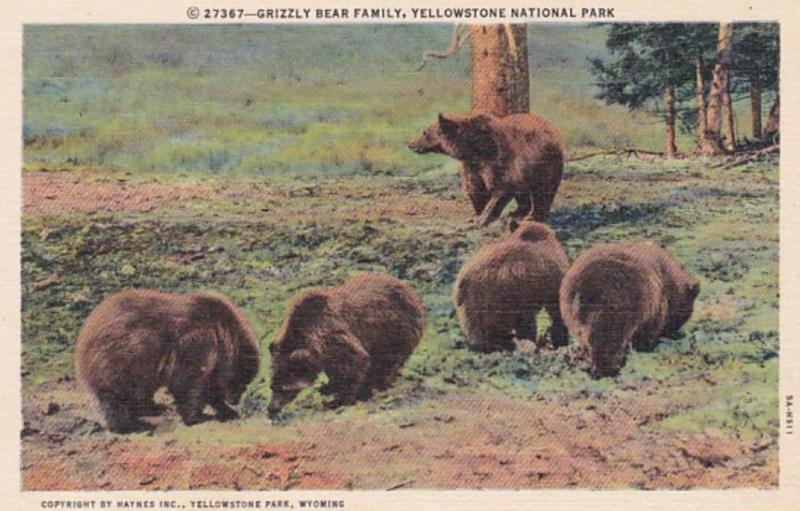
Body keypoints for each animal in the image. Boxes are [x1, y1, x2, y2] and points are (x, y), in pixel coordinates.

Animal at [75, 290, 260, 434]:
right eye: (242, 381)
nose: (236, 400)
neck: (221, 335)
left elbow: (208, 386)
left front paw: (227, 411)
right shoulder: (197, 343)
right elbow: (187, 382)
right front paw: (197, 416)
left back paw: (154, 408)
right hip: (121, 358)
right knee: (115, 396)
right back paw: (131, 425)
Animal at [268, 272, 424, 416]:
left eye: (284, 388)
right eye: (272, 386)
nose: (271, 409)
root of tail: (410, 290)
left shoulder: (333, 334)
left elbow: (354, 361)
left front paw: (338, 400)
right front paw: (328, 388)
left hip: (395, 327)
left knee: (389, 361)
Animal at [406, 113, 564, 225]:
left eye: (424, 132)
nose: (410, 144)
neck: (475, 147)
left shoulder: (500, 158)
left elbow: (501, 187)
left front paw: (482, 219)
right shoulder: (474, 167)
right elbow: (477, 189)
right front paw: (478, 214)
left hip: (544, 163)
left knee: (544, 190)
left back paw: (534, 215)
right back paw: (518, 212)